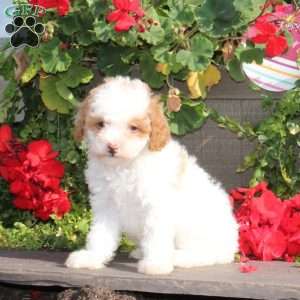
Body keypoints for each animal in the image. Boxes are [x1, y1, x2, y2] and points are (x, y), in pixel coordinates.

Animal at [65, 75, 239, 274]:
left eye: (133, 128)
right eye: (100, 124)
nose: (112, 146)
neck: (124, 166)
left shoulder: (157, 205)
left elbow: (156, 236)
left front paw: (156, 263)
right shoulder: (105, 204)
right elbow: (100, 234)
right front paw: (92, 257)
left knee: (207, 254)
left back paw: (179, 257)